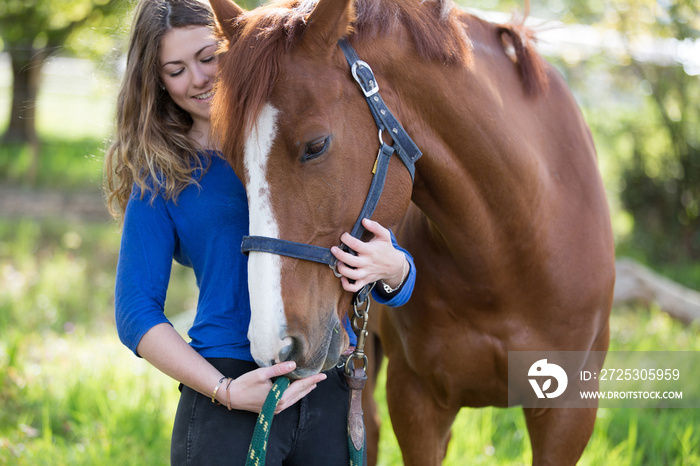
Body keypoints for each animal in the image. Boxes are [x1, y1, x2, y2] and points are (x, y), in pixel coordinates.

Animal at [208, 1, 612, 464]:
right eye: (232, 159)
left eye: (316, 145)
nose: (272, 344)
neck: (510, 253)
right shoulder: (416, 401)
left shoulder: (568, 415)